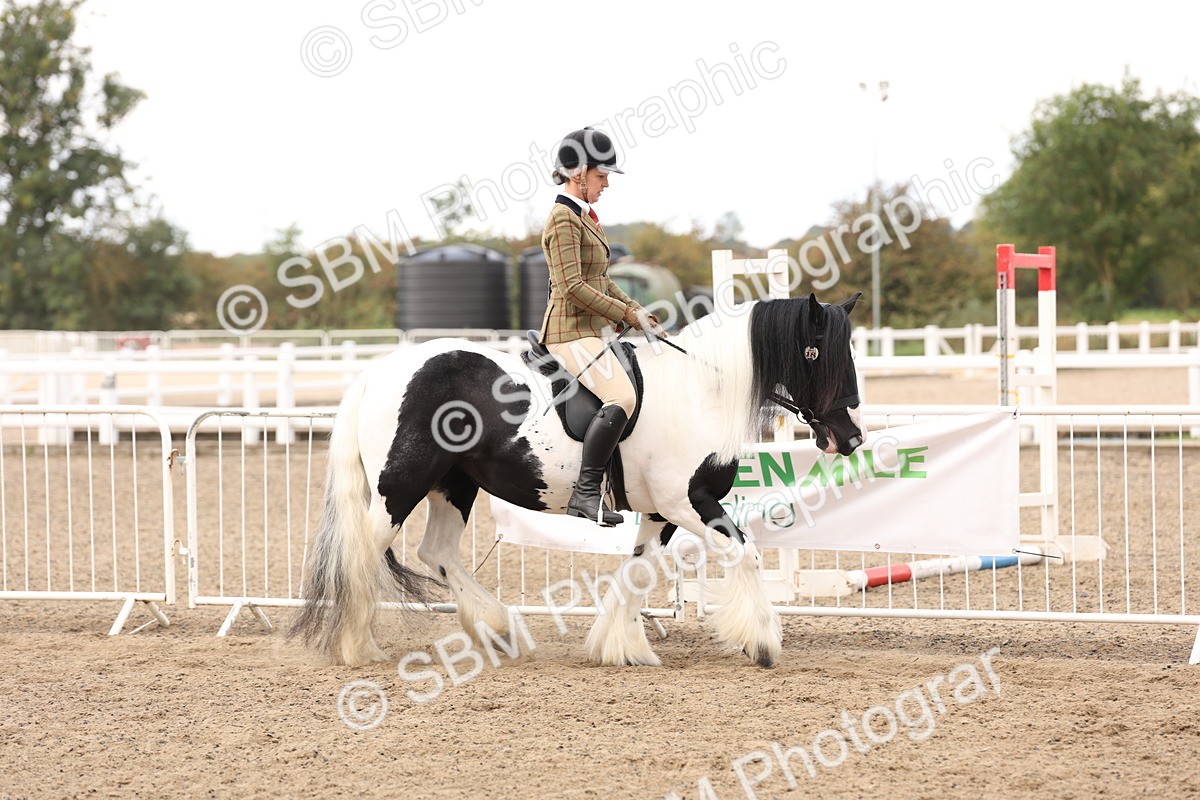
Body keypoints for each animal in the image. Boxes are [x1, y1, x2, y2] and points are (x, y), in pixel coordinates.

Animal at [291, 292, 865, 668]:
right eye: (816, 354)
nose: (851, 438)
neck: (700, 391)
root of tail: (380, 370)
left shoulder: (658, 512)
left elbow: (638, 572)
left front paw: (621, 648)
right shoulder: (688, 503)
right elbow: (747, 554)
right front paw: (762, 643)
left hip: (455, 484)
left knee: (437, 552)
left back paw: (499, 629)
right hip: (401, 485)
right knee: (362, 554)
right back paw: (357, 648)